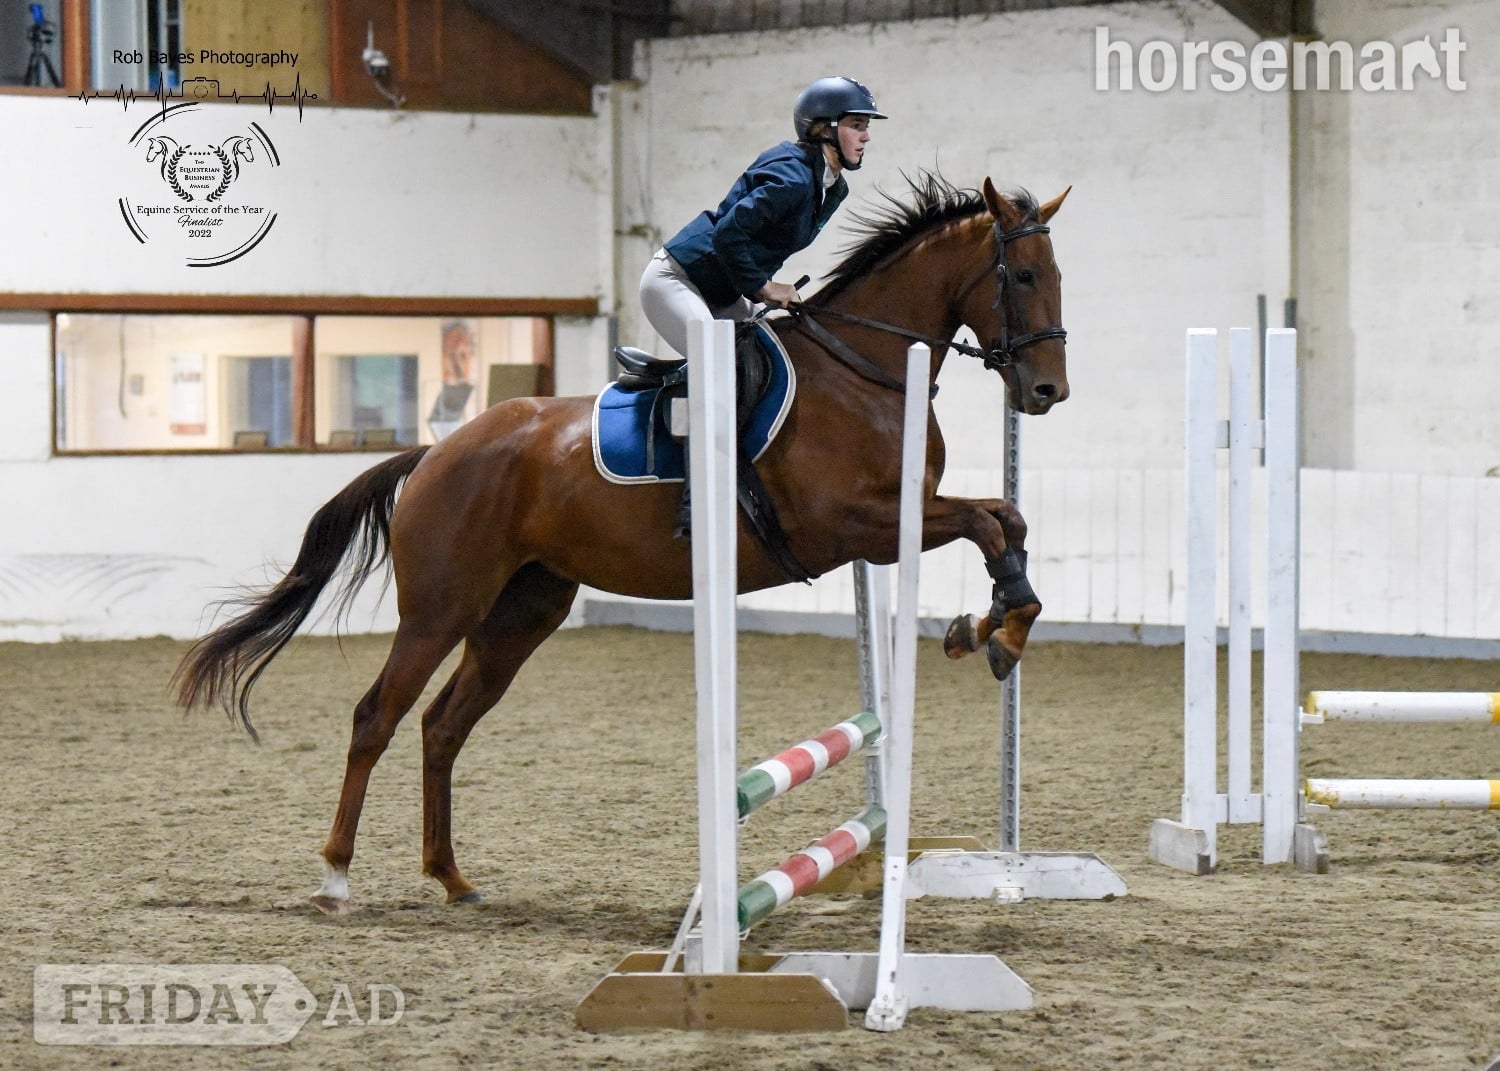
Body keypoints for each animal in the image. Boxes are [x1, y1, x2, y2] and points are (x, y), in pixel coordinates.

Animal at [174, 172, 1072, 915]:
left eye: (1058, 276)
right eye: (1023, 276)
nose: (1047, 391)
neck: (865, 368)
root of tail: (434, 452)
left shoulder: (898, 516)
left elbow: (1007, 520)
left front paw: (996, 624)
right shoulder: (858, 526)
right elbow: (987, 520)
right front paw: (992, 630)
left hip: (522, 611)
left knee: (442, 725)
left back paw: (452, 877)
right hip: (440, 608)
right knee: (376, 717)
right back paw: (334, 877)